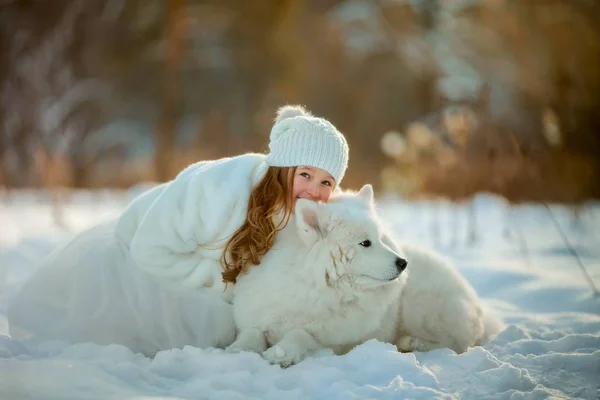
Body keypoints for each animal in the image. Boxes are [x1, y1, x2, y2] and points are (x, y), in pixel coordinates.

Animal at [227, 184, 490, 366]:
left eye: (380, 239)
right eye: (365, 243)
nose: (403, 263)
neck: (313, 287)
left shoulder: (333, 337)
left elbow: (300, 333)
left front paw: (282, 352)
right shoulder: (258, 314)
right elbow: (253, 333)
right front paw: (237, 349)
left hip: (421, 309)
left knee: (454, 343)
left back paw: (411, 343)